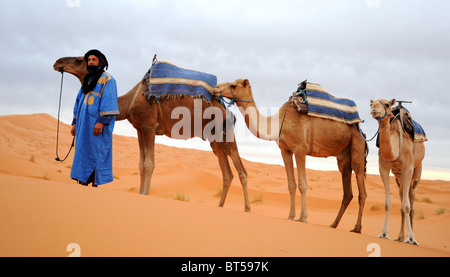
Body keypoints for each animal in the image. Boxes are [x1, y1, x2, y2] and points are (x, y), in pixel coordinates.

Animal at [52, 56, 253, 211]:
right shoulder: (140, 129)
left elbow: (149, 165)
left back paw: (247, 209)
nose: (57, 62)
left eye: (80, 60)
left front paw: (145, 197)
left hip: (225, 132)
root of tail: (227, 109)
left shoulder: (149, 126)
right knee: (227, 172)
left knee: (241, 170)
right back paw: (220, 206)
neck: (129, 101)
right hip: (214, 138)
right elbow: (141, 165)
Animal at [213, 78, 368, 232]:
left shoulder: (300, 149)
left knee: (361, 185)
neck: (278, 122)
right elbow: (291, 185)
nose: (215, 88)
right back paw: (333, 224)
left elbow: (302, 184)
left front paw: (303, 218)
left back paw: (357, 228)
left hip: (357, 144)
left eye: (234, 85)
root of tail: (360, 128)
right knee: (347, 190)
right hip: (343, 156)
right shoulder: (285, 150)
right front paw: (291, 216)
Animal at [370, 98, 426, 244]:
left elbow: (407, 206)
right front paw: (384, 233)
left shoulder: (408, 168)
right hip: (398, 178)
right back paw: (400, 236)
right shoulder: (383, 167)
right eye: (371, 103)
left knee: (411, 206)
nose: (374, 108)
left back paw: (413, 238)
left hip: (417, 171)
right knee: (401, 201)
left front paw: (411, 238)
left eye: (387, 104)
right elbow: (388, 203)